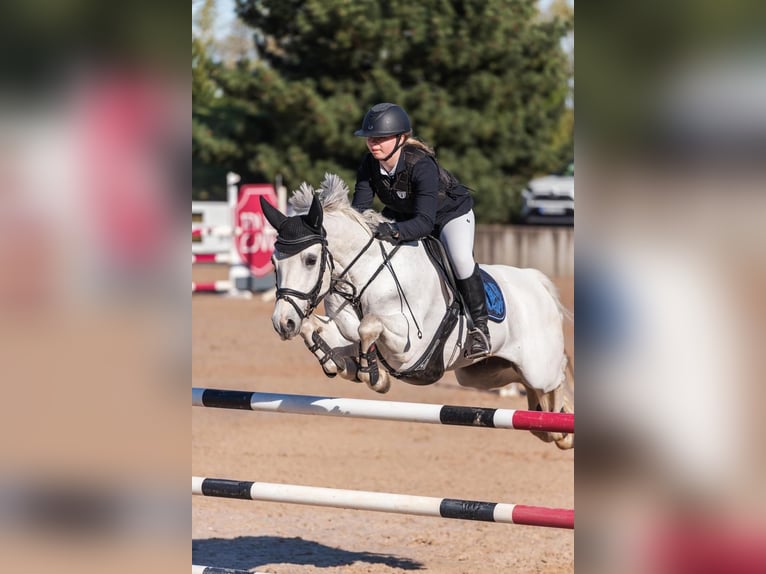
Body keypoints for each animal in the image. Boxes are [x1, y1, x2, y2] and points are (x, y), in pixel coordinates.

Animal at [260, 173, 572, 452]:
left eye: (311, 260)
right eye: (274, 262)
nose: (282, 323)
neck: (365, 273)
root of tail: (536, 281)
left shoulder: (411, 348)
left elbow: (368, 326)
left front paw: (372, 374)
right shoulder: (343, 327)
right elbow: (318, 329)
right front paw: (339, 363)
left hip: (537, 368)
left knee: (557, 378)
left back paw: (562, 429)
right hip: (482, 373)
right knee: (533, 395)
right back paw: (549, 427)